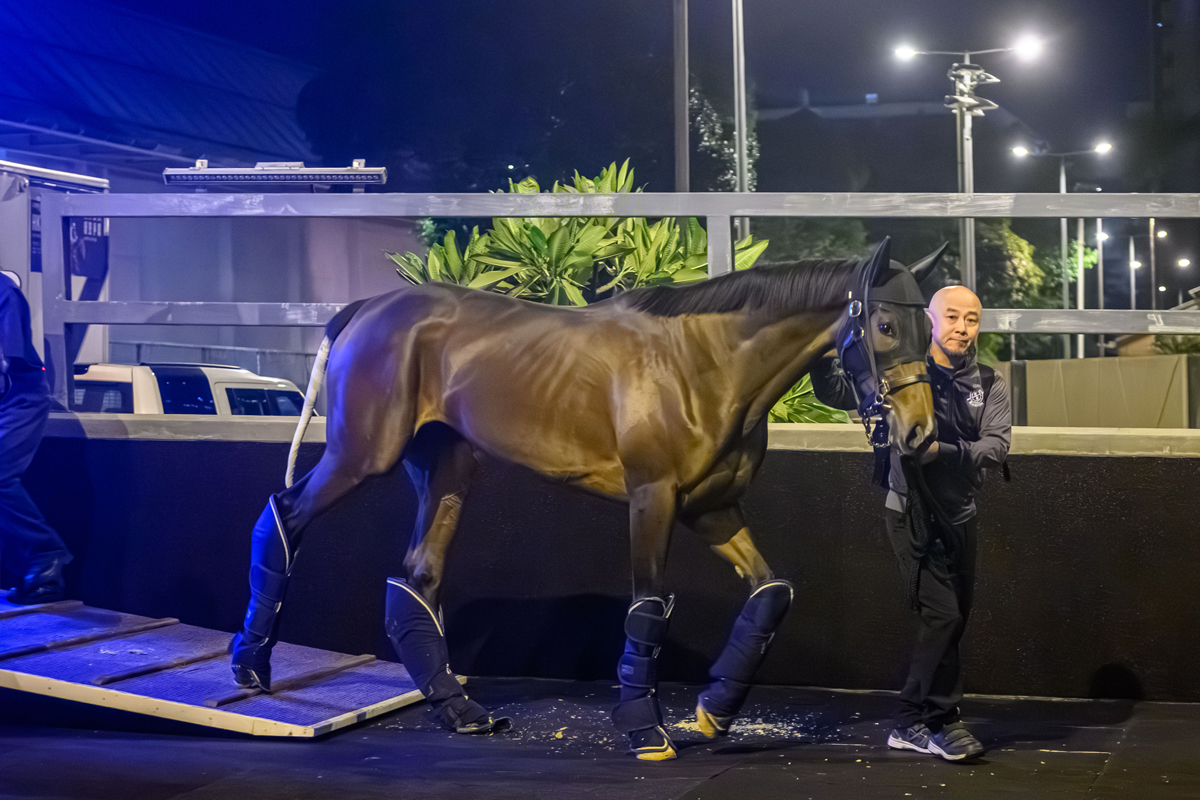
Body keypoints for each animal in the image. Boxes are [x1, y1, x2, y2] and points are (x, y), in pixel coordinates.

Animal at [229, 239, 940, 762]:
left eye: (925, 323)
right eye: (883, 324)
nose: (920, 432)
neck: (704, 365)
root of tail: (367, 307)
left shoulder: (710, 510)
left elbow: (773, 594)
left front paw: (714, 711)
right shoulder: (652, 499)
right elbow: (647, 609)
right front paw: (645, 728)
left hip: (447, 470)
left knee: (417, 578)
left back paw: (460, 710)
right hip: (360, 456)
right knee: (283, 517)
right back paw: (249, 667)